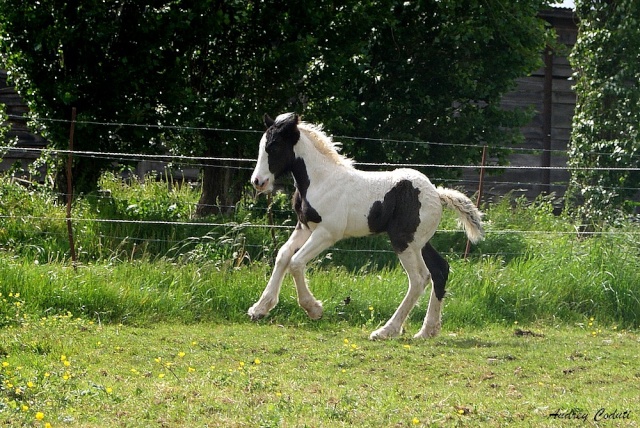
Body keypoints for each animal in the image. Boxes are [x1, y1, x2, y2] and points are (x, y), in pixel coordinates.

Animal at [248, 113, 482, 342]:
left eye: (274, 146)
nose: (258, 181)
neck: (321, 180)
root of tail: (437, 194)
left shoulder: (327, 233)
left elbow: (295, 262)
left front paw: (314, 309)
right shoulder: (305, 227)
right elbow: (283, 255)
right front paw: (259, 309)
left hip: (403, 242)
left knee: (419, 278)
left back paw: (386, 331)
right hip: (419, 242)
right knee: (439, 270)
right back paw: (427, 331)